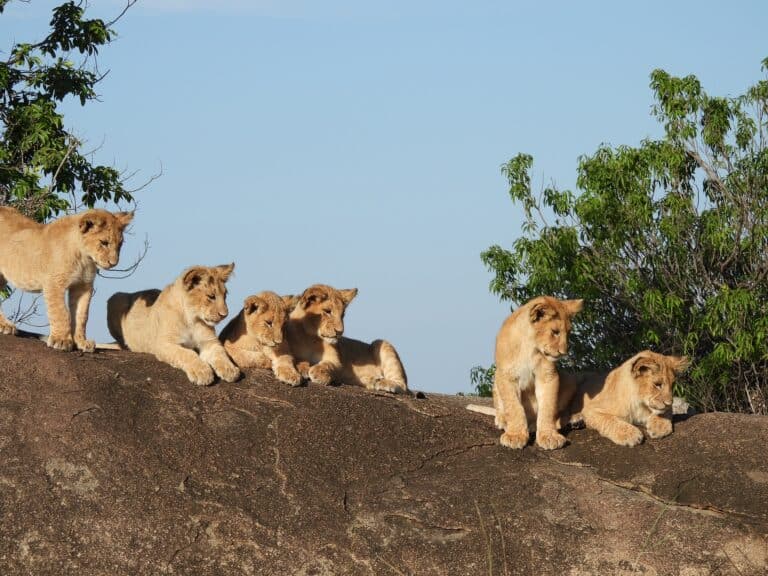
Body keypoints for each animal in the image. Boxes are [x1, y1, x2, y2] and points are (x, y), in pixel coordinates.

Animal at [0, 206, 133, 352]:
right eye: (104, 243)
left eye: (120, 244)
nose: (114, 263)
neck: (84, 257)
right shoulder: (54, 283)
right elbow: (60, 313)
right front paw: (61, 340)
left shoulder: (83, 285)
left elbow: (82, 315)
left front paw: (81, 342)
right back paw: (5, 326)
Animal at [106, 263, 240, 386]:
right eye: (211, 296)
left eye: (225, 296)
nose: (225, 315)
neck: (191, 319)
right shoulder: (164, 343)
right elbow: (187, 354)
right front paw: (201, 372)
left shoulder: (209, 342)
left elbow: (220, 354)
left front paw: (230, 370)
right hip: (116, 298)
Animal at [486, 296, 584, 450]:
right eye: (555, 332)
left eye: (569, 333)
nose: (564, 352)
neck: (529, 346)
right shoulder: (506, 375)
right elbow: (514, 407)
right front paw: (515, 435)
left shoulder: (548, 375)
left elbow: (548, 406)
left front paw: (549, 436)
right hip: (496, 379)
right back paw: (503, 420)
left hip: (570, 380)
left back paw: (572, 420)